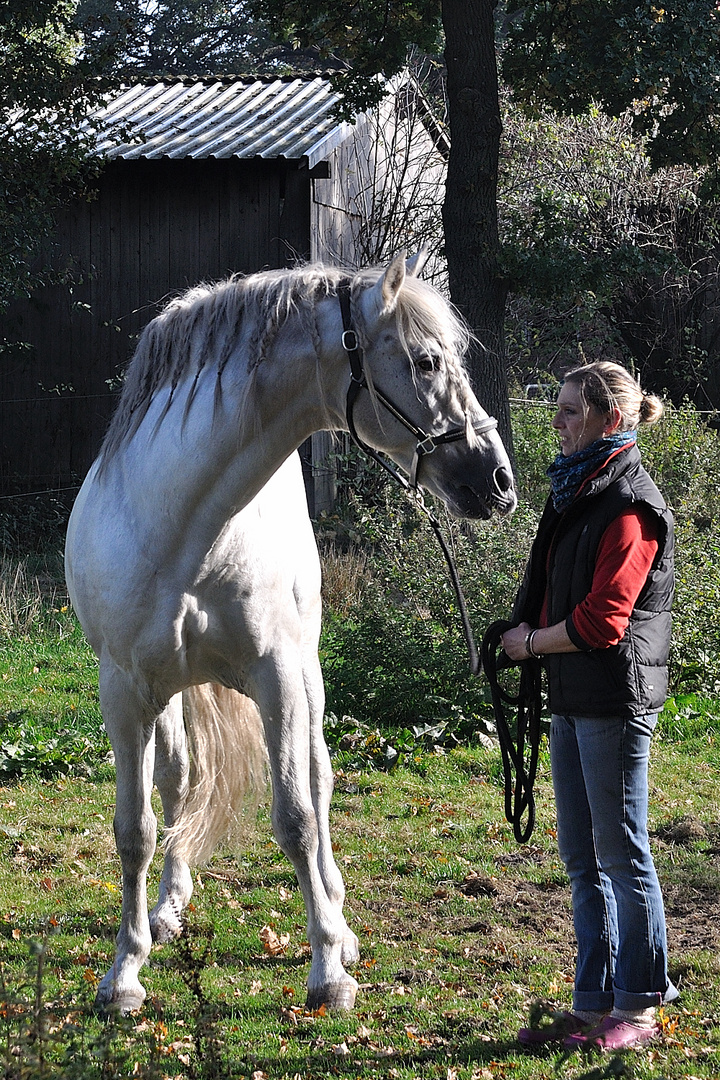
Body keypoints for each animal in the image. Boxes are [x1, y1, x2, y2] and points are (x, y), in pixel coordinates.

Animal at [64, 250, 515, 1010]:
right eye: (426, 361)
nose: (499, 481)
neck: (183, 529)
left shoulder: (276, 676)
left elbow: (298, 816)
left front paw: (329, 965)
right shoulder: (124, 691)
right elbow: (135, 830)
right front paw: (125, 969)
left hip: (307, 677)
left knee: (320, 777)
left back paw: (336, 912)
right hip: (175, 694)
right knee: (179, 782)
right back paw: (169, 906)